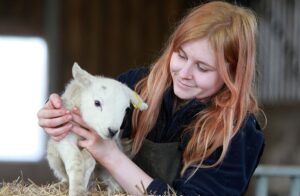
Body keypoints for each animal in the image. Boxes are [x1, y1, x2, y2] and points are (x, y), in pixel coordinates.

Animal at [46, 62, 148, 196]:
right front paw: (77, 189)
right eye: (97, 103)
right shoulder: (66, 136)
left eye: (126, 109)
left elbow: (89, 160)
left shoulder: (94, 145)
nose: (112, 131)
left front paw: (83, 185)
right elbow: (76, 161)